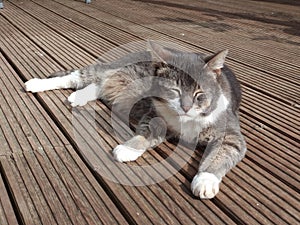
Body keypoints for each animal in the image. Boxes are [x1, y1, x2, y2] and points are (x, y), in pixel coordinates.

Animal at [25, 40, 246, 199]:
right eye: (174, 91)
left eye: (199, 94)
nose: (185, 107)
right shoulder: (155, 116)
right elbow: (146, 132)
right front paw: (127, 148)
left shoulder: (230, 135)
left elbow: (219, 155)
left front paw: (205, 180)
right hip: (106, 71)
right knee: (78, 76)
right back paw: (35, 84)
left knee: (98, 86)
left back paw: (78, 97)